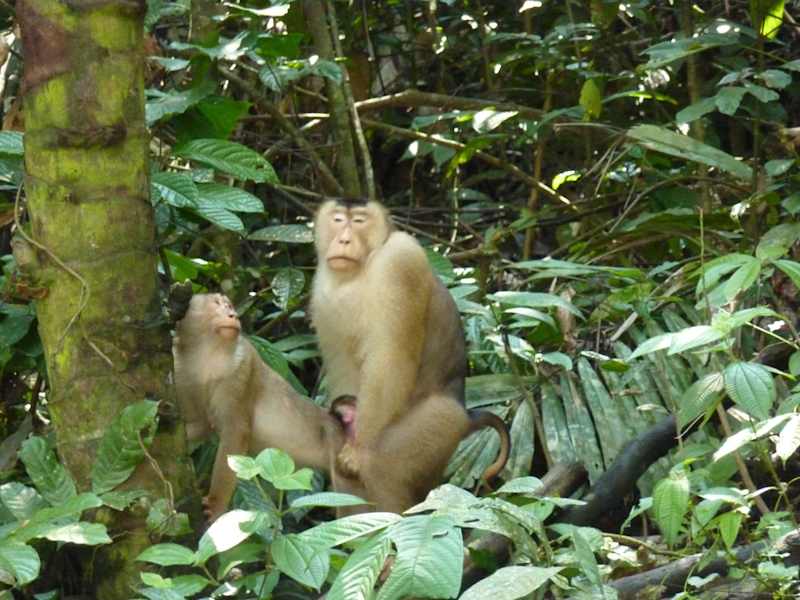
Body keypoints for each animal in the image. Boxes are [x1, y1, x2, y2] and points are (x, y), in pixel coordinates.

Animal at [173, 293, 350, 523]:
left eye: (229, 305)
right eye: (217, 304)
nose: (233, 315)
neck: (208, 354)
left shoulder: (242, 367)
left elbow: (235, 432)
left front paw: (216, 504)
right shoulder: (182, 371)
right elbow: (200, 425)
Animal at [311, 199, 510, 514]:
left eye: (359, 221)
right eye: (338, 220)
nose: (343, 240)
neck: (365, 266)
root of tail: (465, 413)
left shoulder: (399, 261)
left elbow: (390, 361)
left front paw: (359, 445)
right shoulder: (323, 290)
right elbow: (345, 363)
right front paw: (346, 416)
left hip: (440, 423)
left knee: (381, 466)